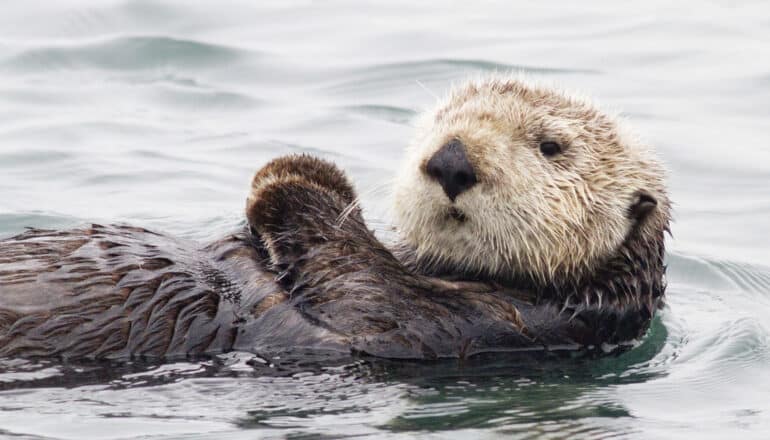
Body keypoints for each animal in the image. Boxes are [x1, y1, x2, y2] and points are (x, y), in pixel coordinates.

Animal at [0, 76, 664, 360]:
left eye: (552, 146)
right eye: (437, 122)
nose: (450, 159)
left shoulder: (472, 325)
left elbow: (357, 284)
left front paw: (289, 177)